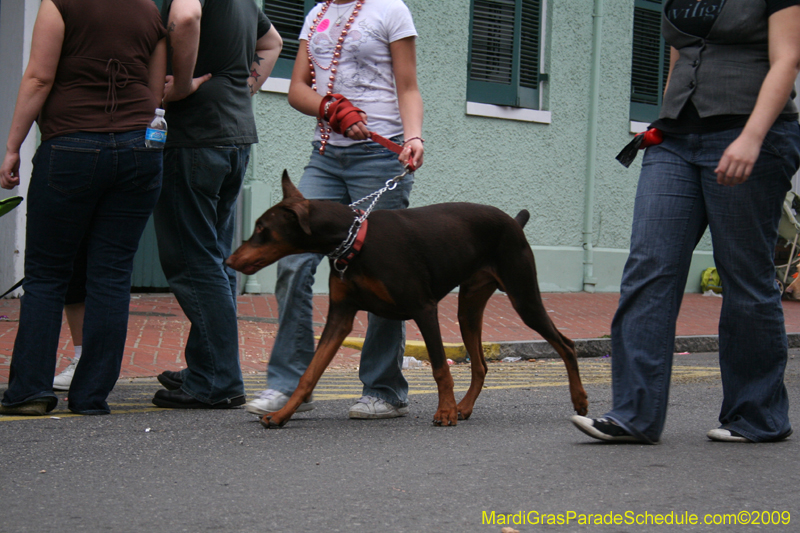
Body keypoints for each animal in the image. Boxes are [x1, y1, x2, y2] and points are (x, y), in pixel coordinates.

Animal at [225, 171, 588, 428]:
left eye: (262, 229)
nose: (228, 261)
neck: (355, 241)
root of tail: (514, 221)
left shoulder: (424, 309)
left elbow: (440, 367)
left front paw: (445, 412)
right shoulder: (340, 317)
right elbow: (309, 373)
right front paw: (282, 414)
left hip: (523, 295)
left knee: (566, 345)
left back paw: (580, 400)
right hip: (469, 307)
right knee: (481, 364)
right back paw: (465, 407)